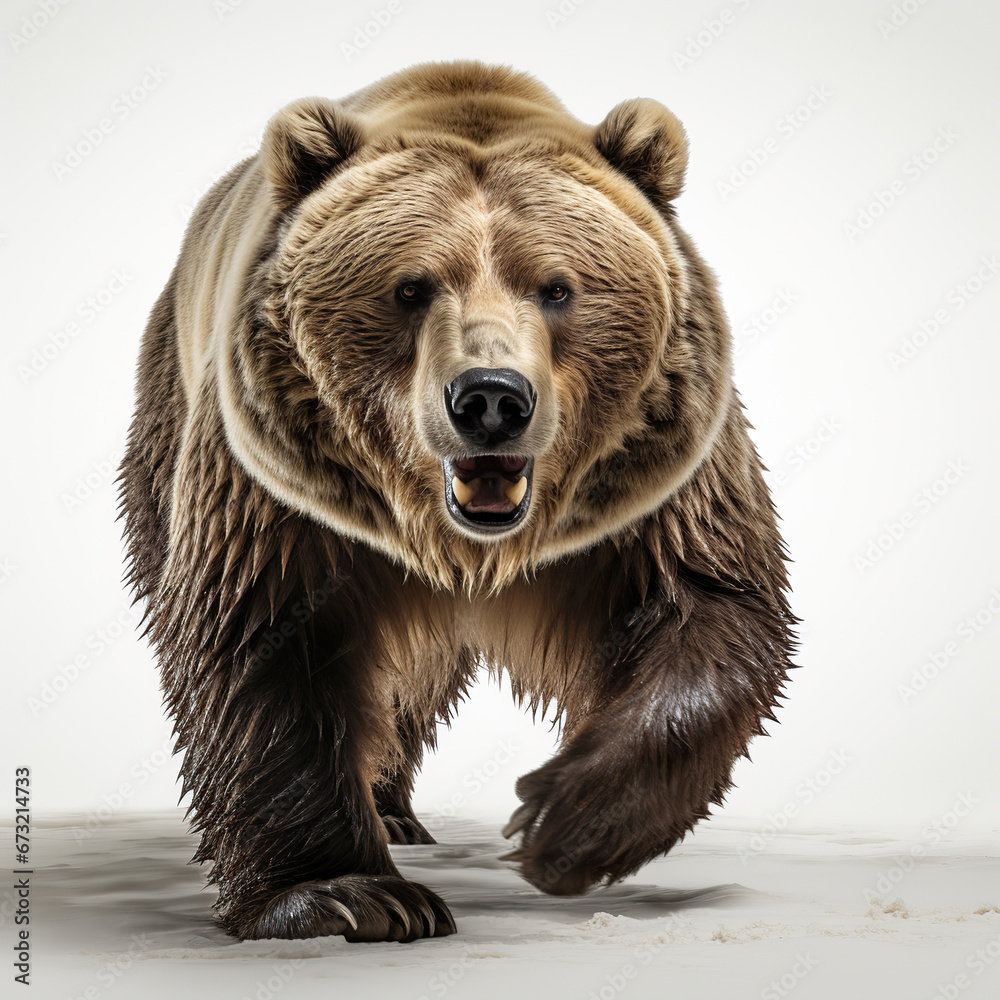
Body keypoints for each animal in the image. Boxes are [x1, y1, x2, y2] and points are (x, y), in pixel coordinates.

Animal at [118, 59, 796, 943]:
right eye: (409, 287)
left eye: (557, 287)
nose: (491, 398)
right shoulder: (281, 488)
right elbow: (260, 632)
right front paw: (346, 893)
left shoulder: (653, 483)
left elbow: (708, 604)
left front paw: (559, 822)